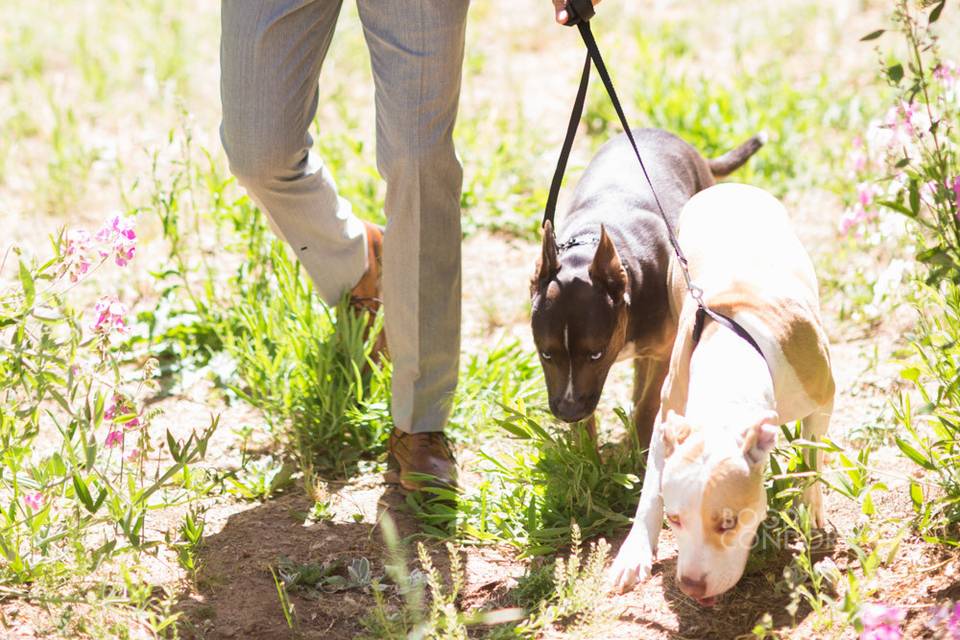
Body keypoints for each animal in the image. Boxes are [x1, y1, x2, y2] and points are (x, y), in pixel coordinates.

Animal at [608, 181, 832, 604]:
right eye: (675, 519)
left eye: (728, 523)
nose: (692, 586)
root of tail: (724, 187)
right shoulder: (669, 420)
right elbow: (651, 488)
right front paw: (634, 551)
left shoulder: (824, 396)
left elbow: (813, 454)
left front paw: (809, 511)